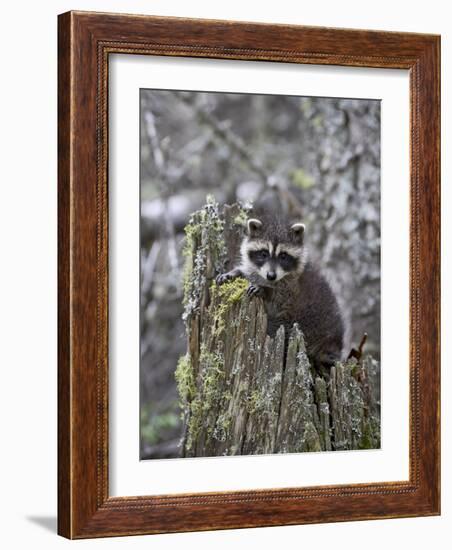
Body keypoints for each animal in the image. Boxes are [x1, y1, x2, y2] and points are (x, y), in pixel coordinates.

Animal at [217, 217, 344, 370]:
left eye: (283, 256)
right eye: (264, 253)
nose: (271, 276)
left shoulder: (292, 287)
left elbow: (279, 298)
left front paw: (265, 290)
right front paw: (235, 272)